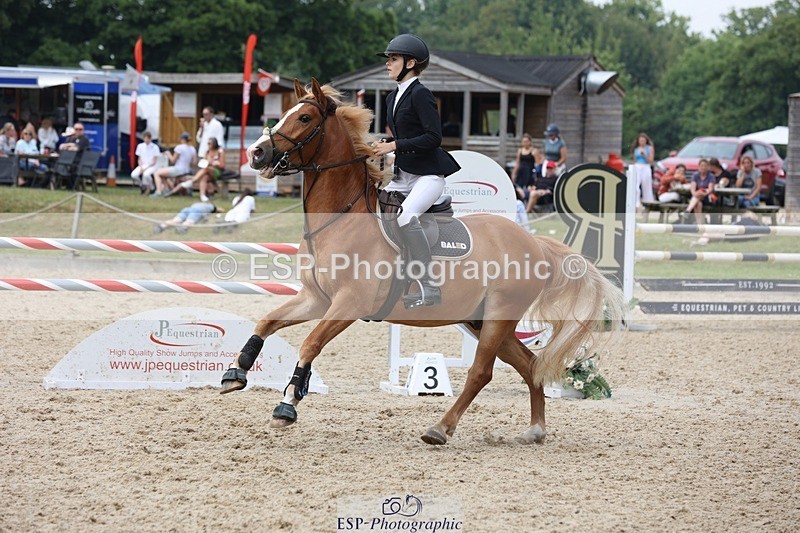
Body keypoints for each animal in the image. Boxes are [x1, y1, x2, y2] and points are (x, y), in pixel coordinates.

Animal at [220, 78, 627, 445]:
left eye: (304, 117)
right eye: (285, 114)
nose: (256, 154)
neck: (342, 218)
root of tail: (534, 243)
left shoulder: (348, 304)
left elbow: (309, 345)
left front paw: (287, 405)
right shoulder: (317, 299)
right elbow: (267, 321)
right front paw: (236, 373)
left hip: (499, 316)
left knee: (481, 372)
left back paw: (440, 429)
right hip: (482, 320)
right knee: (529, 365)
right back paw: (534, 431)